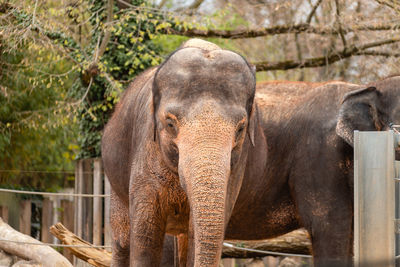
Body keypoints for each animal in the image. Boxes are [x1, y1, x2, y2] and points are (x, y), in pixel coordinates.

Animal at [101, 38, 268, 266]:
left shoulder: (236, 169)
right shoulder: (144, 152)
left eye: (241, 128)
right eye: (170, 124)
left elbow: (198, 235)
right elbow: (145, 240)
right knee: (122, 239)